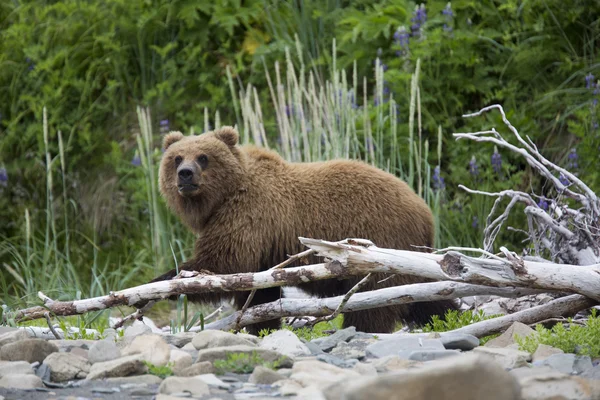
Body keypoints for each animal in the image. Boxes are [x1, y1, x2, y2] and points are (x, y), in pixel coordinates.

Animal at [151, 127, 454, 334]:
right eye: (176, 157)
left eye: (203, 157)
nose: (185, 174)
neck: (222, 197)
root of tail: (424, 210)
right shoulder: (263, 249)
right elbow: (258, 292)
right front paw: (263, 327)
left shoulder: (250, 215)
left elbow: (222, 263)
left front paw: (161, 283)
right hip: (409, 256)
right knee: (423, 297)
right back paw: (448, 316)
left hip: (382, 243)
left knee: (374, 303)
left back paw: (360, 329)